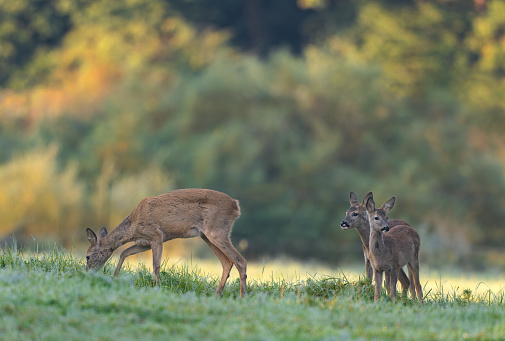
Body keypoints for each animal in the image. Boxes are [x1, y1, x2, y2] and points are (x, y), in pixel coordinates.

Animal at [85, 187, 247, 296]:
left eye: (87, 256)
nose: (86, 272)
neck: (133, 225)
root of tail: (236, 205)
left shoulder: (156, 235)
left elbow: (156, 265)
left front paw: (156, 288)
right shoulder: (144, 243)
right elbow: (124, 252)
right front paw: (115, 277)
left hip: (217, 232)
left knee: (240, 261)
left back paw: (242, 297)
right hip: (206, 236)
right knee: (227, 262)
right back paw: (217, 294)